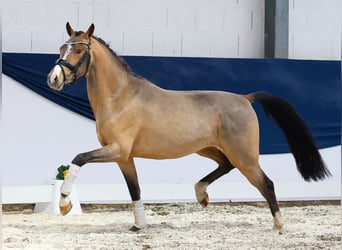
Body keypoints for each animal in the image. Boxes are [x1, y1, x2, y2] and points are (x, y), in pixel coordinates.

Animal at [46, 23, 330, 232]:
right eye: (61, 47)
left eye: (79, 51)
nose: (54, 78)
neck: (120, 98)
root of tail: (245, 98)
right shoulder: (124, 157)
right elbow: (134, 189)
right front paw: (139, 226)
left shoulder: (117, 150)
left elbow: (79, 158)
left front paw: (64, 203)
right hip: (208, 149)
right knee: (225, 166)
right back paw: (201, 195)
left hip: (245, 156)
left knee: (266, 183)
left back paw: (279, 225)